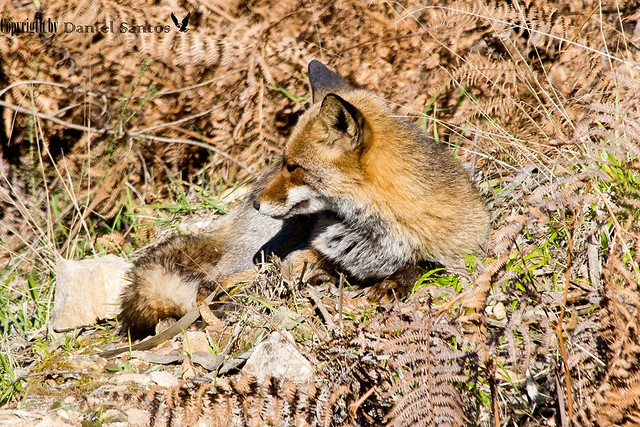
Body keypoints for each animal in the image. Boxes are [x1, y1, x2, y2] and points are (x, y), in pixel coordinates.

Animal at [119, 61, 490, 338]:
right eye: (284, 162)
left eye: (294, 167)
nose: (256, 201)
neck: (373, 234)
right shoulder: (309, 251)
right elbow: (300, 264)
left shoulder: (462, 249)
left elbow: (422, 266)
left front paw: (393, 282)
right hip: (261, 251)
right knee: (210, 285)